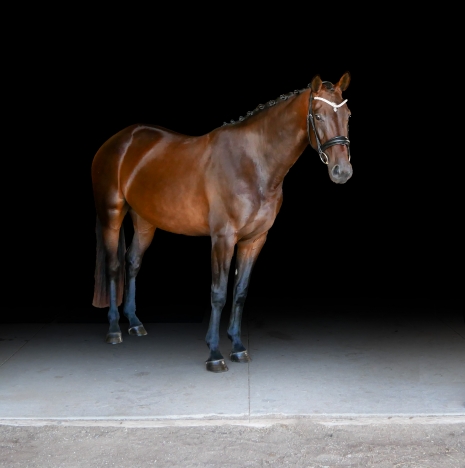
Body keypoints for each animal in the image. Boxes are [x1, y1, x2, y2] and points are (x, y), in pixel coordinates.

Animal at [92, 73, 353, 372]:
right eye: (318, 116)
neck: (253, 163)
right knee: (113, 267)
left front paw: (238, 347)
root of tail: (118, 141)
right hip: (111, 214)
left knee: (132, 262)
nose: (342, 171)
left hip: (145, 221)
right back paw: (114, 330)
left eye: (348, 114)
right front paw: (214, 354)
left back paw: (135, 323)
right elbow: (218, 293)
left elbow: (239, 292)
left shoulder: (254, 240)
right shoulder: (223, 238)